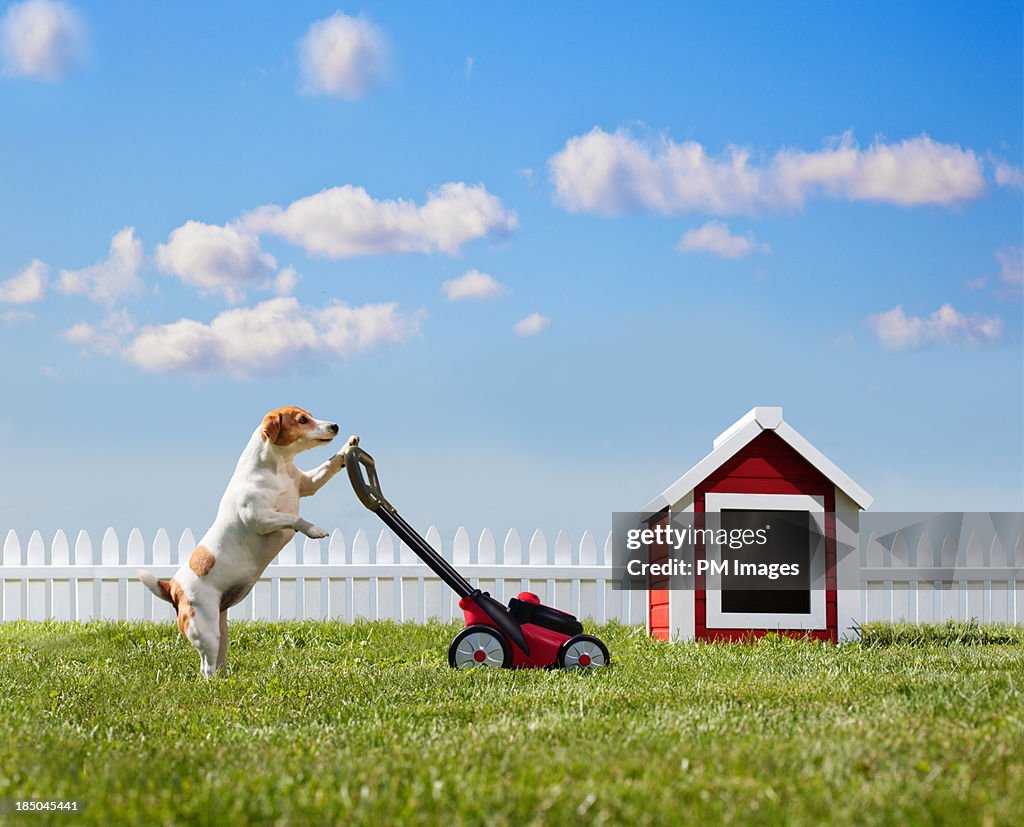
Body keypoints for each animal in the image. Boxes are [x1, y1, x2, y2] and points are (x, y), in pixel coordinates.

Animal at [138, 403, 358, 675]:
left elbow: (327, 467)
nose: (335, 426)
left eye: (311, 414)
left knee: (214, 662)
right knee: (206, 668)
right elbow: (293, 517)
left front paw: (348, 447)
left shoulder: (307, 484)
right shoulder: (259, 518)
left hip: (221, 629)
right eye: (302, 420)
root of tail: (172, 587)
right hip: (206, 630)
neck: (277, 469)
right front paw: (313, 529)